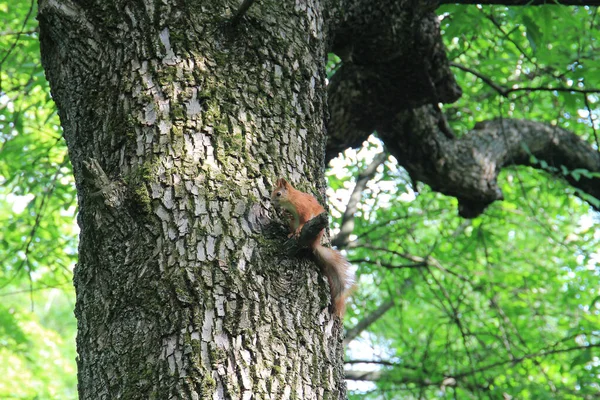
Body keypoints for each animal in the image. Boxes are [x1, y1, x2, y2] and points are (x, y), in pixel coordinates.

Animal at [270, 178, 354, 318]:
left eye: (278, 194)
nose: (271, 202)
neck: (292, 199)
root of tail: (314, 244)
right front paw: (285, 214)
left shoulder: (303, 208)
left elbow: (304, 219)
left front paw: (299, 228)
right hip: (292, 223)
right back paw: (291, 234)